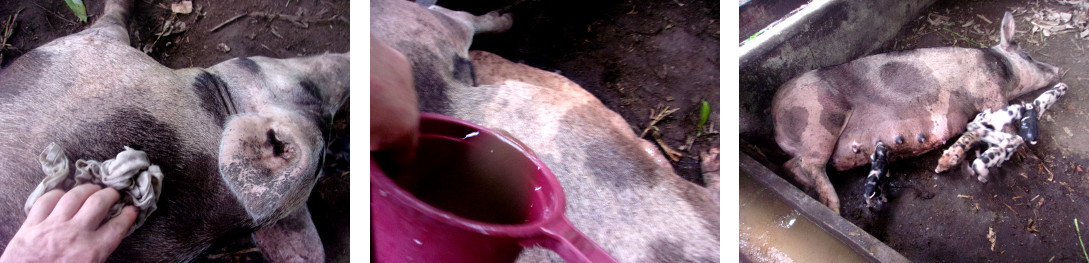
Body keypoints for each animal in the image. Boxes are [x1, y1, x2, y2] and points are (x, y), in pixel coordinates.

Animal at [775, 11, 1062, 215]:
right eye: (1028, 56)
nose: (1058, 70)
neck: (1000, 65)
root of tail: (776, 117)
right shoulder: (990, 91)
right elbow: (1008, 126)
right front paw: (1023, 152)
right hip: (820, 120)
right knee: (811, 164)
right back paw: (834, 208)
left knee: (792, 164)